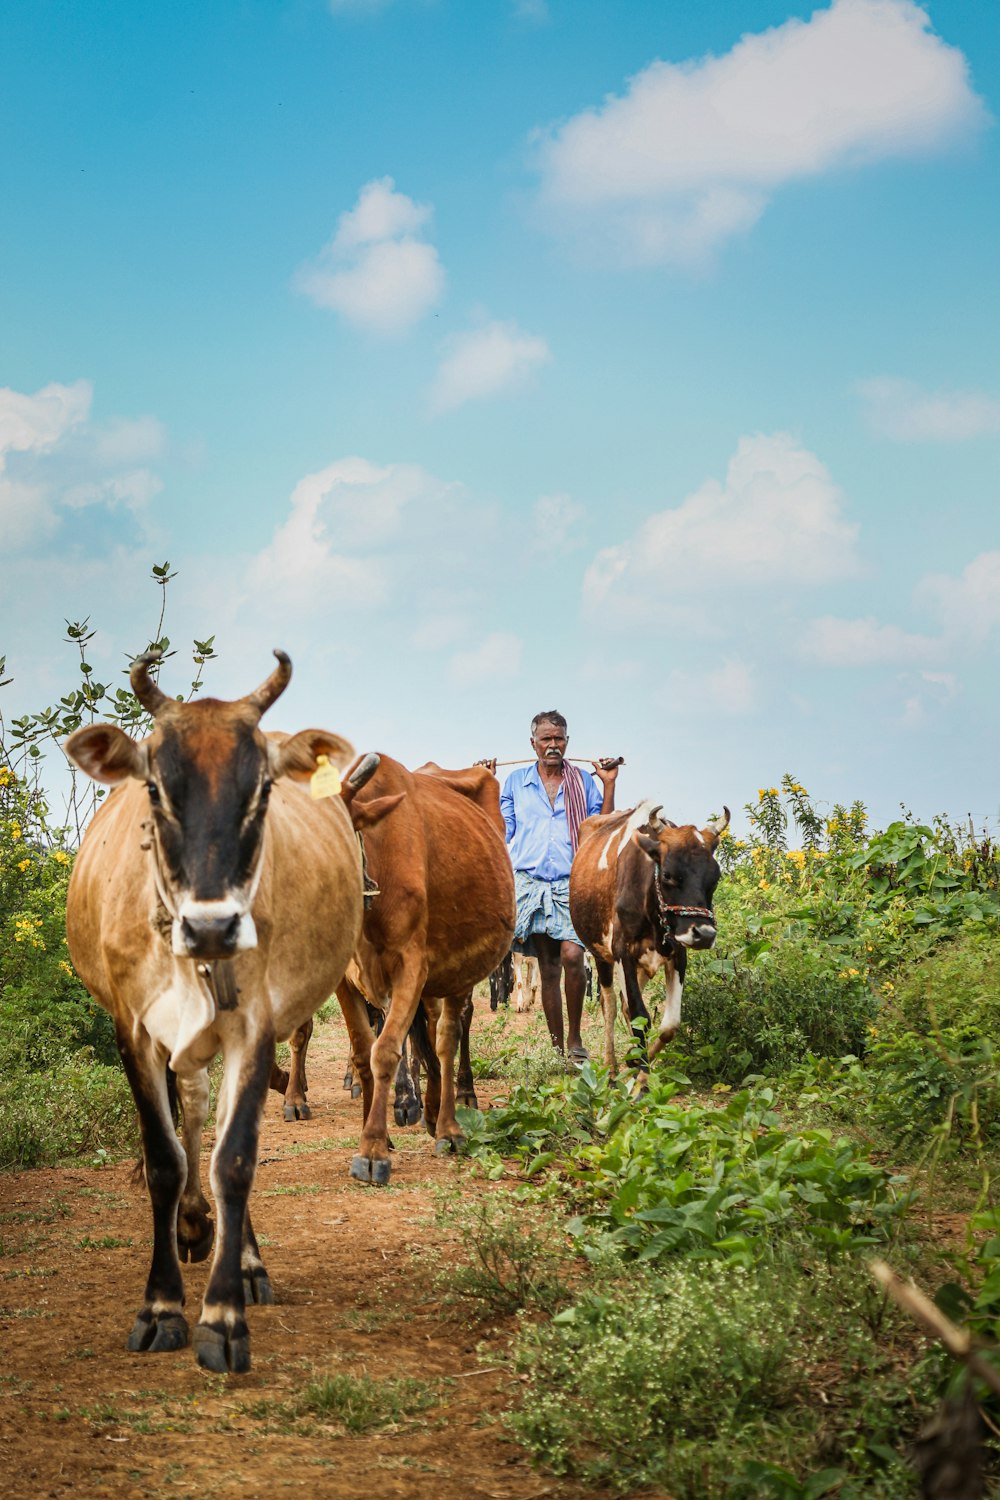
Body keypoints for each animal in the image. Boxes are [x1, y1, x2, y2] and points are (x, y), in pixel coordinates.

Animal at [63, 651, 359, 1374]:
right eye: (156, 790)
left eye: (262, 794)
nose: (212, 927)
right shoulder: (134, 1032)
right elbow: (166, 1159)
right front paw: (161, 1306)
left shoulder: (255, 1027)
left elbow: (236, 1158)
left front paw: (223, 1315)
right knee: (193, 1108)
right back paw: (194, 1225)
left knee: (223, 1129)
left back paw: (239, 1257)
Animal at [335, 756, 515, 1176]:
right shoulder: (346, 981)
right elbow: (364, 1054)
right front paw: (378, 1132)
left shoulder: (411, 967)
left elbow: (386, 1051)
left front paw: (372, 1150)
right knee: (429, 1038)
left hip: (461, 970)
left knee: (448, 1038)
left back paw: (449, 1125)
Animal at [569, 804, 728, 1074]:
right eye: (668, 875)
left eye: (715, 877)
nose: (704, 935)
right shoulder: (623, 954)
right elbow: (638, 1014)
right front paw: (639, 1072)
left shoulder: (678, 955)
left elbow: (670, 1024)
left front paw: (638, 1060)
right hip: (601, 954)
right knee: (610, 1004)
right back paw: (610, 1066)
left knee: (623, 1004)